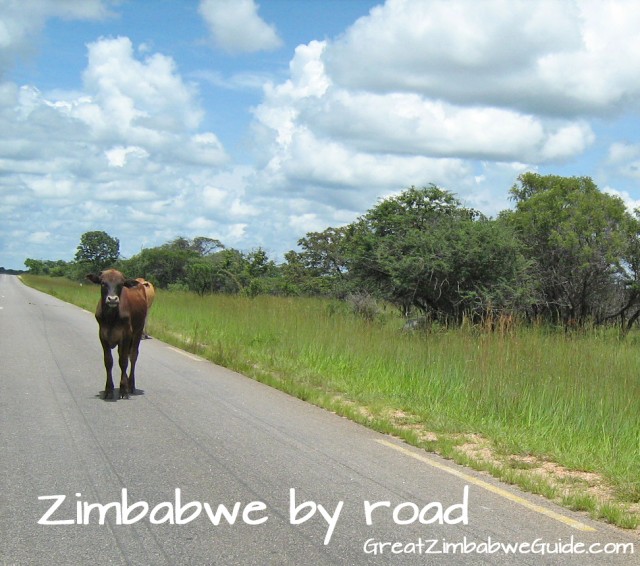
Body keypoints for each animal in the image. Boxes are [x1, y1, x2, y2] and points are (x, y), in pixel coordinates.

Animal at [86, 270, 149, 400]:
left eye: (120, 284)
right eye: (103, 283)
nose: (112, 299)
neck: (111, 317)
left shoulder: (126, 335)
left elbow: (123, 362)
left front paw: (123, 389)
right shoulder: (103, 335)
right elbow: (108, 361)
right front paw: (109, 390)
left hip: (138, 332)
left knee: (133, 356)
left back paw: (131, 385)